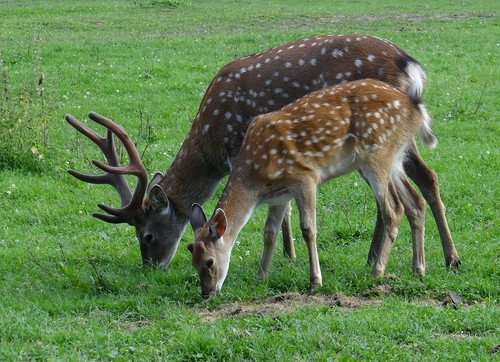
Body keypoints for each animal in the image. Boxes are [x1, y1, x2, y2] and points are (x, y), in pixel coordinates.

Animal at [67, 33, 460, 272]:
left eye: (146, 234)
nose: (151, 267)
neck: (209, 145)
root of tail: (410, 65)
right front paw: (288, 253)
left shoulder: (241, 146)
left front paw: (287, 252)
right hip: (397, 140)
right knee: (428, 179)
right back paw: (449, 258)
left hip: (376, 137)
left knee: (396, 194)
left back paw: (377, 259)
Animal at [188, 79, 438, 296]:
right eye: (192, 258)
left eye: (209, 261)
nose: (207, 293)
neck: (255, 180)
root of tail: (416, 107)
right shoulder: (279, 196)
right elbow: (269, 233)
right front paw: (261, 276)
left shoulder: (305, 177)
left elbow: (308, 229)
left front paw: (315, 281)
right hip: (396, 157)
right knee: (415, 202)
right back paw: (419, 268)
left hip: (376, 155)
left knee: (393, 209)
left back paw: (378, 271)